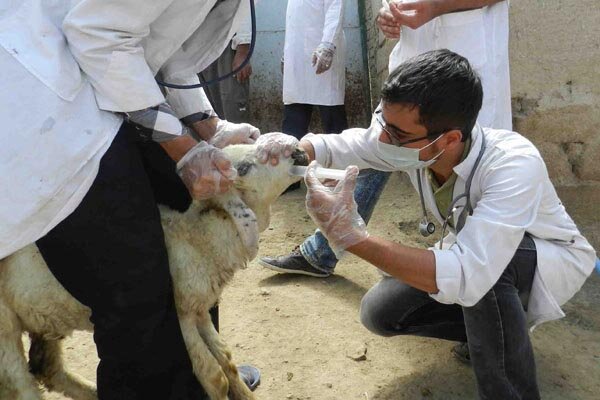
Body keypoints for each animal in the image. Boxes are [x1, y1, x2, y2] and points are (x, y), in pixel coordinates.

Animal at [0, 144, 310, 400]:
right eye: (243, 168)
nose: (298, 152)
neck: (194, 233)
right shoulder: (180, 315)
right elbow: (214, 376)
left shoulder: (198, 305)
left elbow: (227, 360)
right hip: (5, 329)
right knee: (21, 385)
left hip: (41, 316)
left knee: (46, 367)